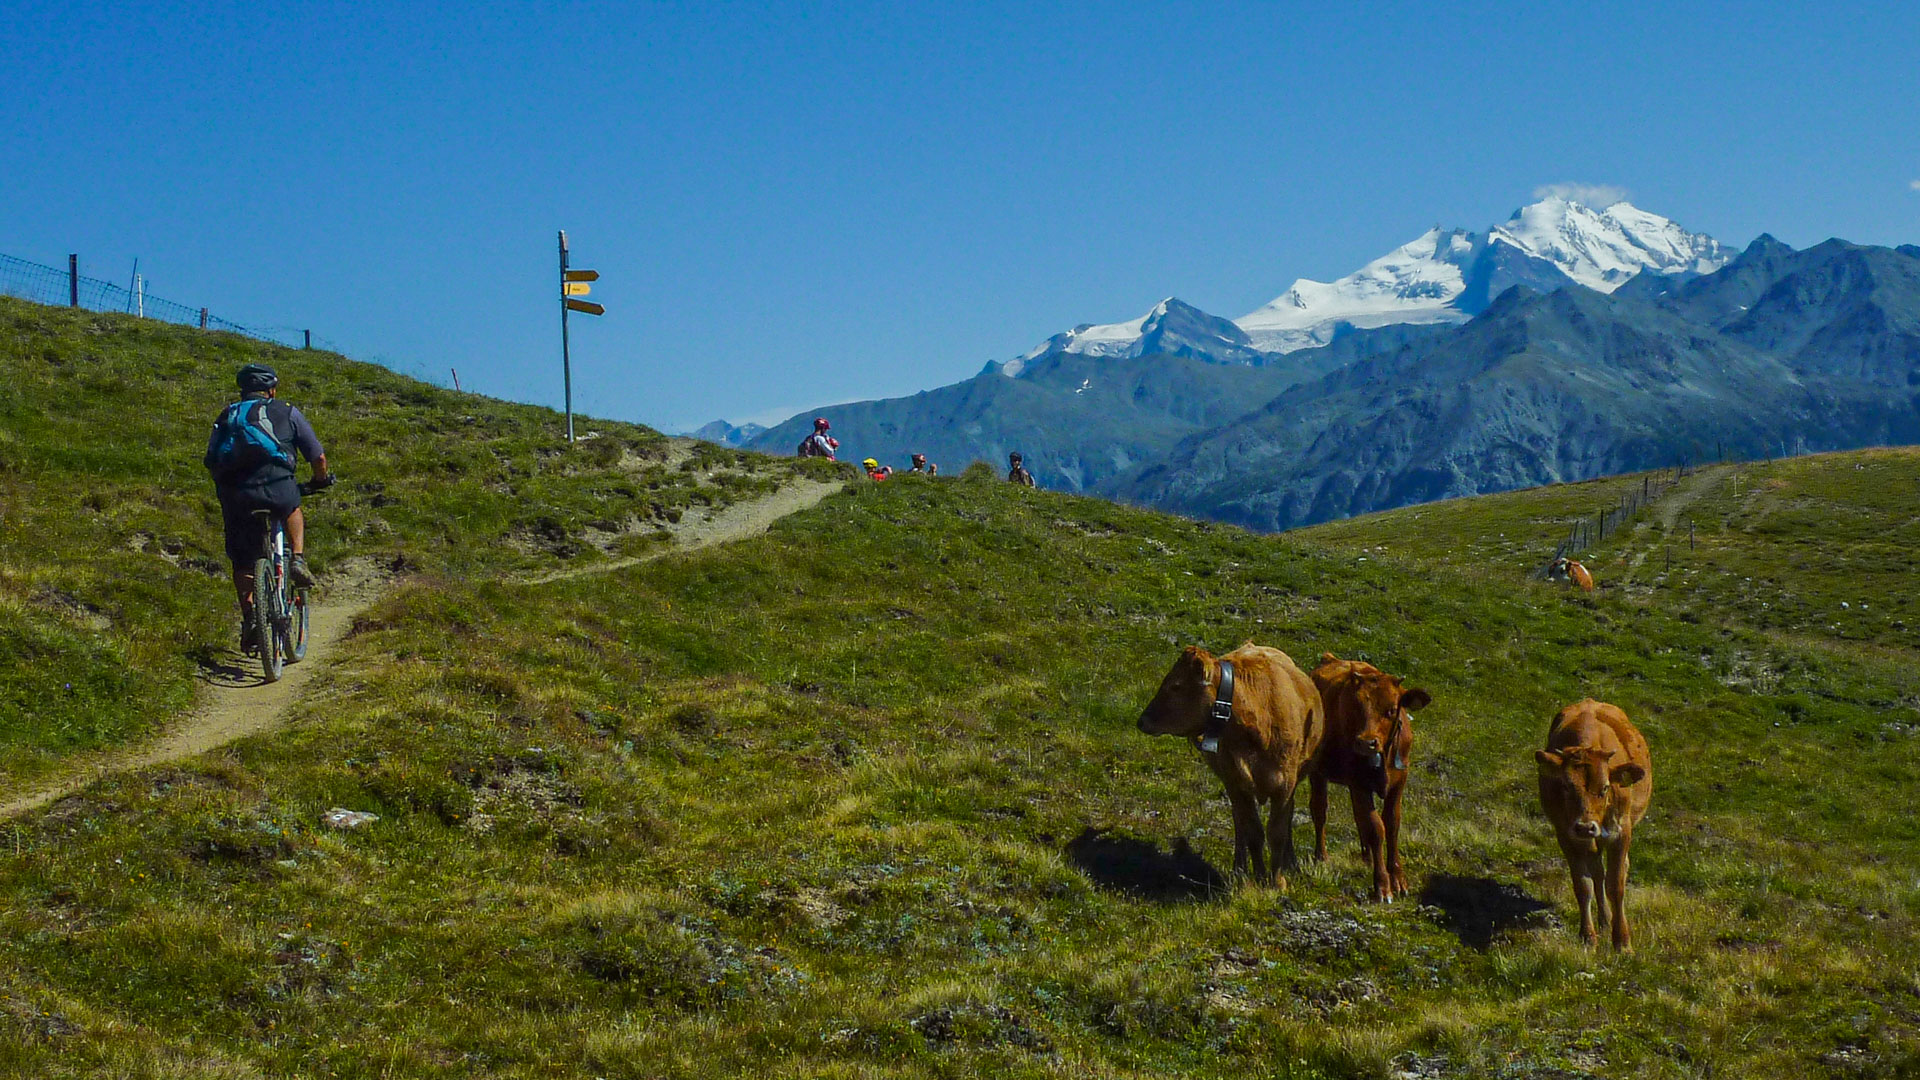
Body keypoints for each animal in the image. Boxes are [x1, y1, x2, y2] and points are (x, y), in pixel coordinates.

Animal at [1136, 641, 1320, 887]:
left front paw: (1278, 881)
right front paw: (1259, 878)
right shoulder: (1236, 783)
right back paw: (1239, 870)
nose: (1142, 721)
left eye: (1175, 686)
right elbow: (1254, 832)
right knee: (1240, 824)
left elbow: (1278, 832)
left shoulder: (1285, 785)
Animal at [1313, 657, 1436, 899]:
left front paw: (1398, 878)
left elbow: (1392, 823)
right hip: (1317, 773)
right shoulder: (1358, 784)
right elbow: (1376, 828)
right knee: (1319, 812)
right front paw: (1382, 884)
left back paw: (1367, 856)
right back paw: (1321, 857)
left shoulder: (1399, 783)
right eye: (1356, 707)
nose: (1365, 743)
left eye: (1391, 710)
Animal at [1528, 691, 1651, 945]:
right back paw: (1604, 921)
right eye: (1565, 786)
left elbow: (1616, 885)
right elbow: (1583, 885)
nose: (1585, 827)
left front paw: (1622, 941)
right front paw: (1588, 936)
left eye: (1605, 788)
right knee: (1597, 872)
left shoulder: (1621, 832)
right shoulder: (1565, 834)